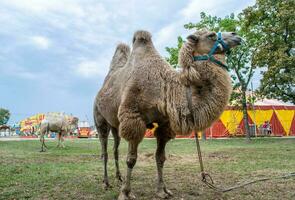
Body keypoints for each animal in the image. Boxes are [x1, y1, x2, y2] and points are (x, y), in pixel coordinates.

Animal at [95, 28, 243, 199]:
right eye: (211, 35)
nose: (236, 35)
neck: (164, 89)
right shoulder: (133, 119)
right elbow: (131, 159)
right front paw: (125, 193)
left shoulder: (165, 124)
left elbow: (160, 158)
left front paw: (162, 190)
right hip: (100, 119)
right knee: (104, 151)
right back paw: (106, 183)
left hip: (115, 124)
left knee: (115, 149)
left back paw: (118, 178)